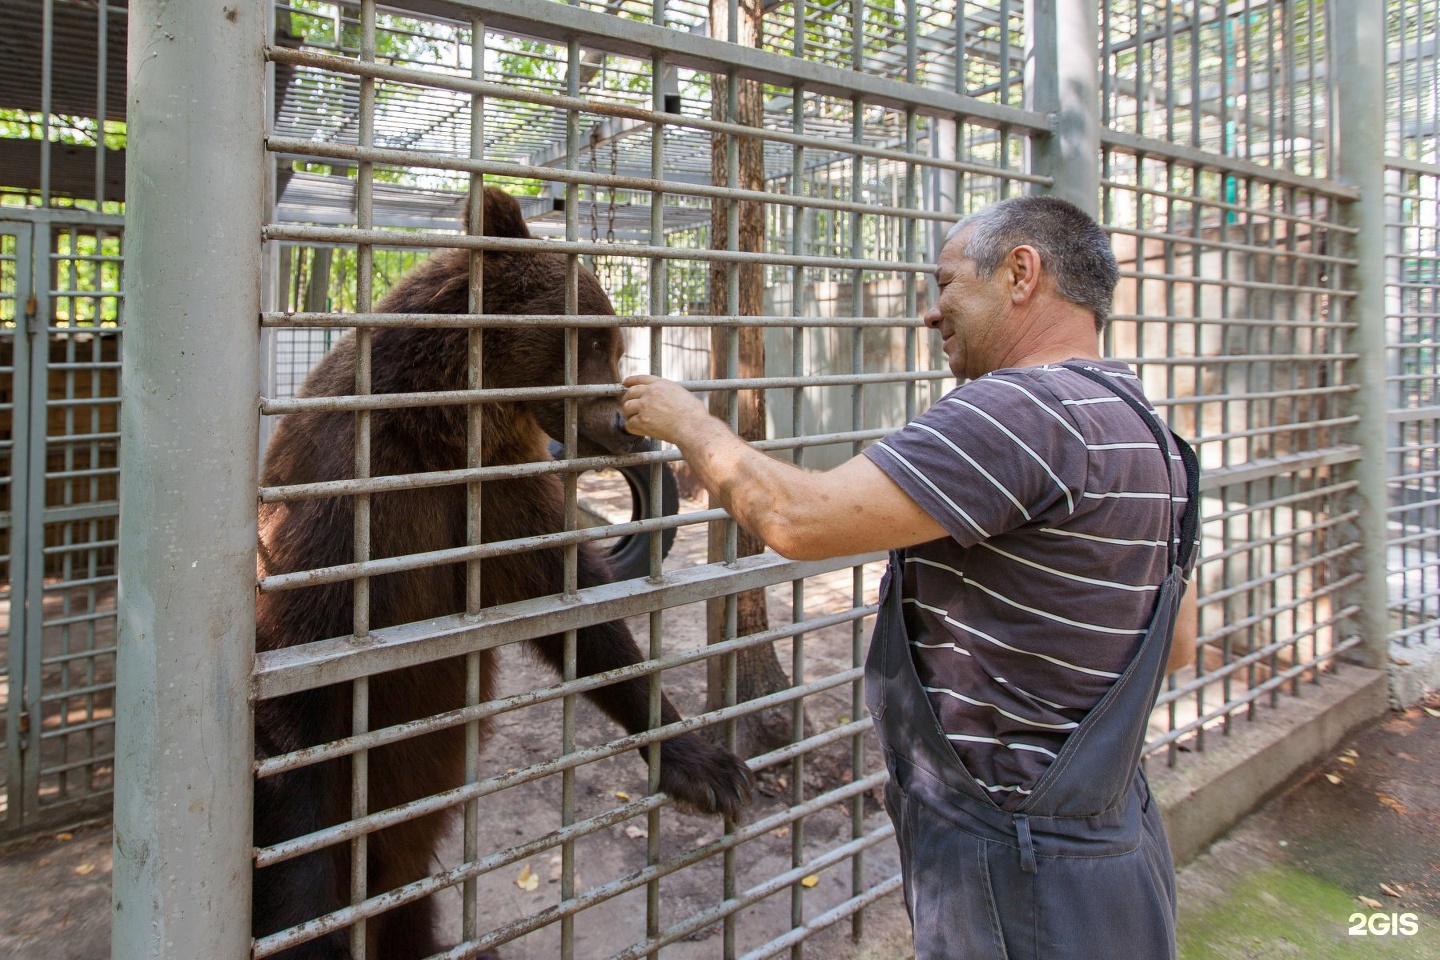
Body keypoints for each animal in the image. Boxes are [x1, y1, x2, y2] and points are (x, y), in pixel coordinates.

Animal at [254, 189, 754, 960]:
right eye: (594, 341)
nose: (623, 424)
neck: (442, 433)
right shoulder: (338, 509)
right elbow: (299, 705)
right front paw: (312, 933)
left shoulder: (501, 506)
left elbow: (582, 619)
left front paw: (704, 764)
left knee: (411, 898)